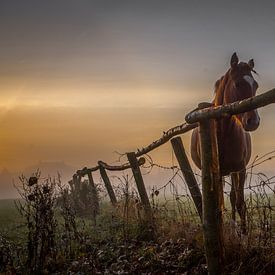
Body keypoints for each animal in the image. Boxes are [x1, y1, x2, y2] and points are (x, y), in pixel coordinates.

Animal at [192, 52, 260, 234]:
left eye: (256, 86)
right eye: (237, 84)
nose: (254, 121)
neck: (223, 133)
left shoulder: (241, 170)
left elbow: (240, 203)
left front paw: (243, 234)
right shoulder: (215, 173)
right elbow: (219, 204)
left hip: (233, 172)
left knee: (233, 197)